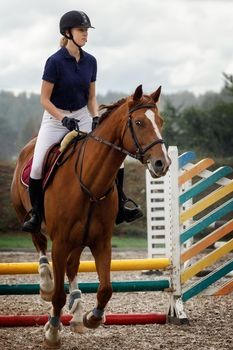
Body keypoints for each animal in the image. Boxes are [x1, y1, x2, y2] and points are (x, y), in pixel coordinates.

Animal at [10, 84, 170, 348]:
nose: (162, 164)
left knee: (72, 266)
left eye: (160, 121)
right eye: (138, 123)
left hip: (80, 238)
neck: (90, 182)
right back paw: (45, 283)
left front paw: (91, 317)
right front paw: (53, 332)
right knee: (40, 243)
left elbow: (105, 289)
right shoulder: (60, 243)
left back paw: (76, 311)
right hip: (28, 216)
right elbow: (57, 295)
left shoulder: (101, 242)